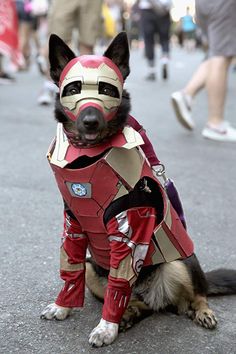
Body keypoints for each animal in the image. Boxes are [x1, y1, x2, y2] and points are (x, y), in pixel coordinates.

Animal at [41, 31, 236, 348]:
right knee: (137, 303)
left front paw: (105, 327)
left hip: (182, 261)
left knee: (196, 294)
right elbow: (70, 272)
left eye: (108, 89)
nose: (90, 121)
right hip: (94, 269)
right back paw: (129, 315)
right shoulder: (73, 228)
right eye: (73, 88)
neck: (89, 156)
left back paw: (201, 311)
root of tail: (155, 295)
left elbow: (118, 285)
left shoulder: (129, 234)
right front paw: (62, 306)